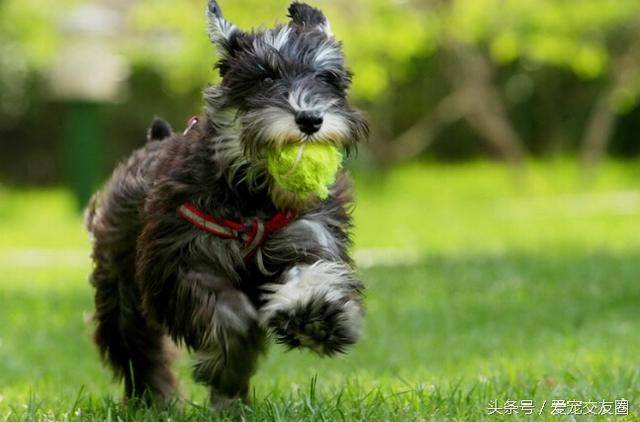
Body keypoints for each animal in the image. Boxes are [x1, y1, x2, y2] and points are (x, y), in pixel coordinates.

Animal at [83, 0, 368, 408]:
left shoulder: (308, 235)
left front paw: (316, 317)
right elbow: (227, 316)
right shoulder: (185, 261)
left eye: (326, 77)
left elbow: (311, 273)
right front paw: (232, 362)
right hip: (121, 290)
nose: (310, 118)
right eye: (264, 78)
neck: (252, 195)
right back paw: (155, 399)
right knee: (136, 348)